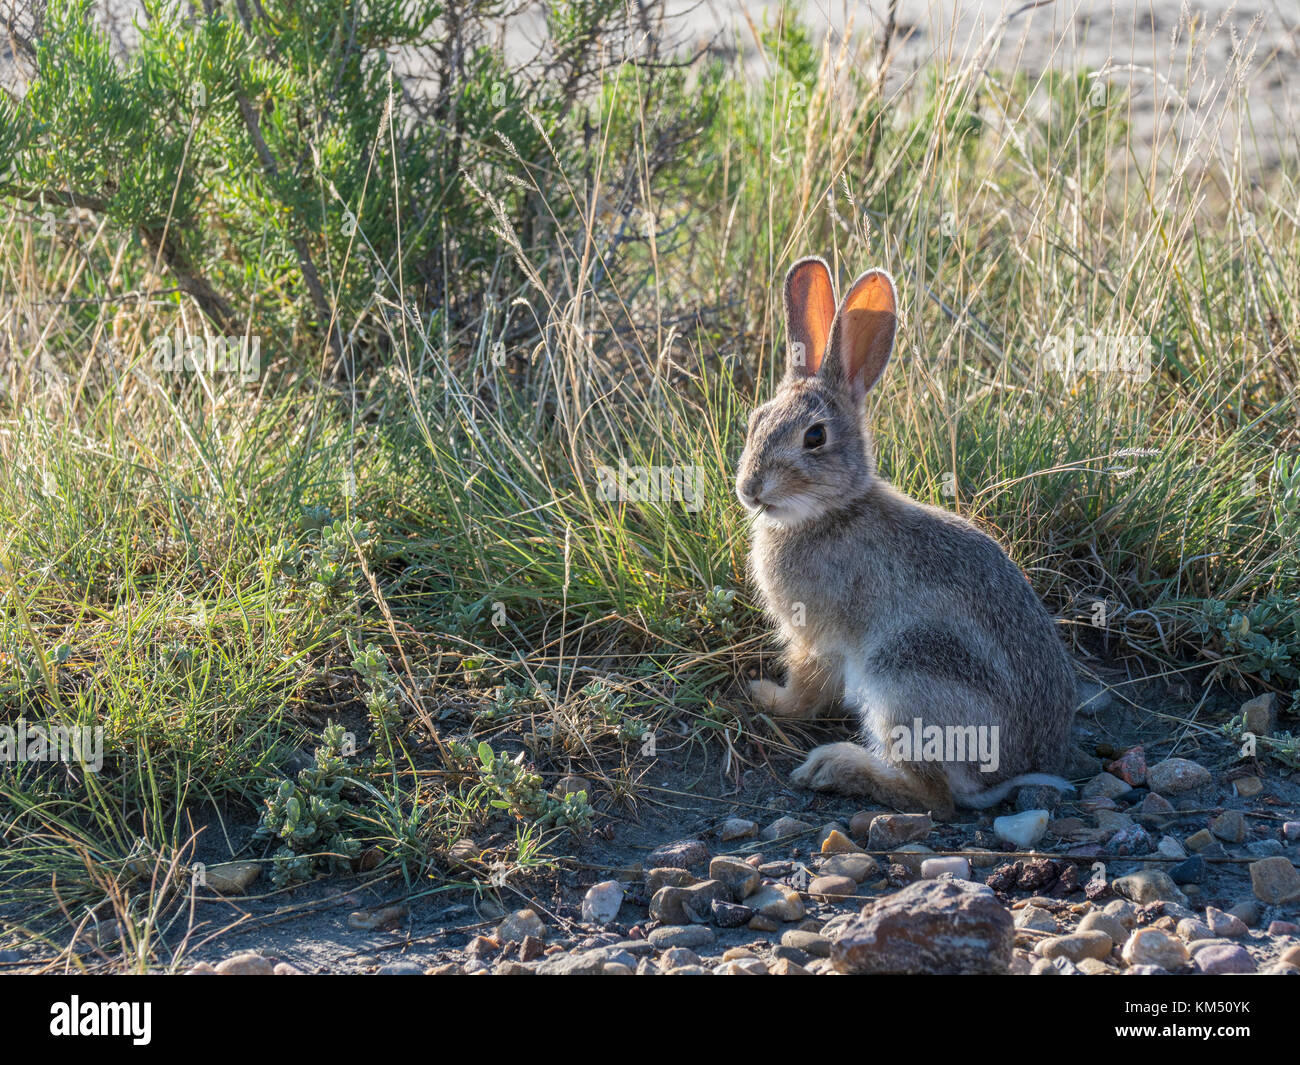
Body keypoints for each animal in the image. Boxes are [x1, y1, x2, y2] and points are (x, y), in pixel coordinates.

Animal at [735, 256, 1077, 818]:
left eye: (815, 436)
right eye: (755, 420)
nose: (749, 489)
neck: (832, 512)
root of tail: (1008, 772)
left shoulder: (814, 637)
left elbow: (805, 690)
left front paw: (767, 698)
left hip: (902, 679)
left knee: (935, 798)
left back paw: (835, 767)